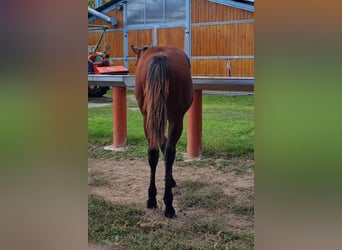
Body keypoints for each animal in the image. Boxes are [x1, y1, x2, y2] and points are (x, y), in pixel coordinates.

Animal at [132, 45, 192, 219]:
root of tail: (159, 57)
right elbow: (166, 147)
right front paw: (170, 180)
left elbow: (161, 144)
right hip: (175, 119)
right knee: (170, 151)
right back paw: (169, 205)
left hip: (149, 117)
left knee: (153, 152)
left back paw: (152, 199)